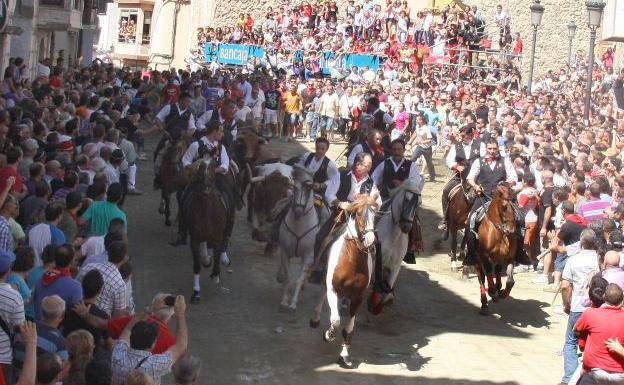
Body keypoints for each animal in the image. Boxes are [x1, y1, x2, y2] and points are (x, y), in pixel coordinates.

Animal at [276, 166, 330, 314]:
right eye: (294, 187)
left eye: (309, 188)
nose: (298, 212)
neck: (299, 225)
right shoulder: (285, 251)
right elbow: (288, 277)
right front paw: (284, 302)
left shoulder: (308, 255)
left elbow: (299, 279)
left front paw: (293, 304)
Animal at [310, 196, 376, 368]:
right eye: (359, 213)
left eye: (375, 214)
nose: (370, 240)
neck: (353, 260)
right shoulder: (333, 289)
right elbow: (336, 320)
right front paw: (328, 335)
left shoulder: (358, 297)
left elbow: (349, 328)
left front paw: (345, 356)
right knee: (322, 291)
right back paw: (315, 319)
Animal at [372, 180, 422, 312]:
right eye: (406, 199)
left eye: (419, 203)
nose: (406, 226)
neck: (393, 237)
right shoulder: (376, 261)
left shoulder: (396, 266)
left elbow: (387, 291)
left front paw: (385, 299)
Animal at [476, 182, 520, 314]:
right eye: (504, 207)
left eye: (515, 203)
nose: (511, 230)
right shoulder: (484, 256)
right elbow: (488, 273)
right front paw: (492, 292)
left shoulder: (510, 258)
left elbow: (510, 281)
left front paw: (503, 293)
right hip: (477, 260)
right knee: (481, 277)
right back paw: (484, 304)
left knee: (498, 270)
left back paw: (498, 288)